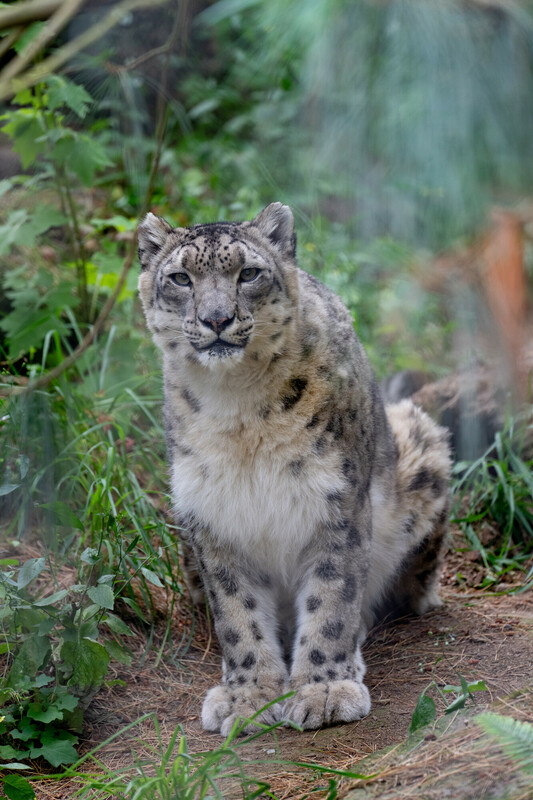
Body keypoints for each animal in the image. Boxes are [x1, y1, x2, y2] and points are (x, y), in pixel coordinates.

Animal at [137, 202, 452, 736]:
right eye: (180, 277)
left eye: (248, 273)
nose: (216, 318)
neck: (238, 409)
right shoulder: (213, 516)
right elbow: (237, 614)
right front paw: (248, 698)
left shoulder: (336, 501)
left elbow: (332, 597)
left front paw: (323, 690)